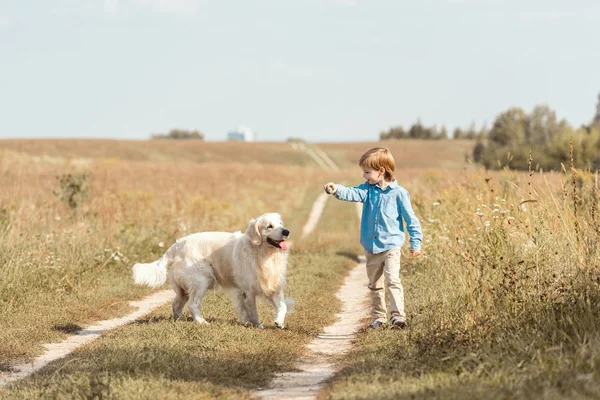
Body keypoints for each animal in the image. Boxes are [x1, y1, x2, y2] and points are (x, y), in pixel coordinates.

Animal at [131, 212, 292, 328]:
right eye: (269, 226)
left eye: (280, 224)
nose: (286, 231)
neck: (264, 254)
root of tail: (175, 246)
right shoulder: (248, 290)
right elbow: (253, 311)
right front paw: (258, 326)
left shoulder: (275, 288)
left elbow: (283, 306)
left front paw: (279, 322)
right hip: (202, 280)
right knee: (192, 304)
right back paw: (202, 322)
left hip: (184, 289)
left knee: (176, 304)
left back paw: (180, 320)